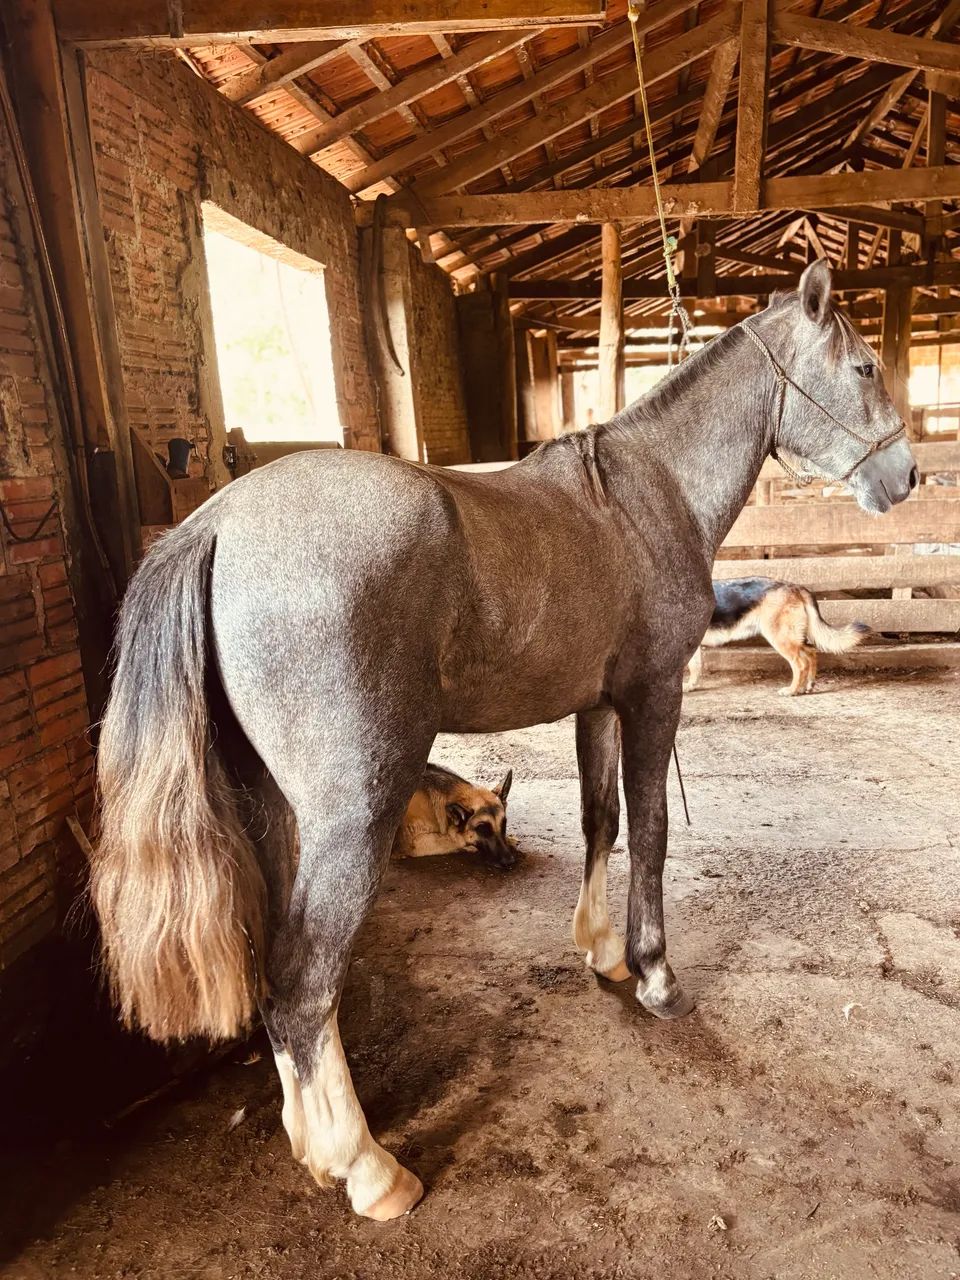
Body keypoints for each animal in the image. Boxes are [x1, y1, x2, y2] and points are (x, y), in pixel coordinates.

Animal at [90, 261, 916, 1220]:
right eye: (863, 366)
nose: (907, 475)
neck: (645, 496)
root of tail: (213, 524)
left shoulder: (598, 705)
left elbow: (603, 821)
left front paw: (601, 952)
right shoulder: (654, 695)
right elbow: (653, 834)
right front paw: (656, 975)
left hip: (271, 809)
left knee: (278, 979)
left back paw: (310, 1144)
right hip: (352, 817)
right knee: (302, 984)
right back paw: (367, 1169)